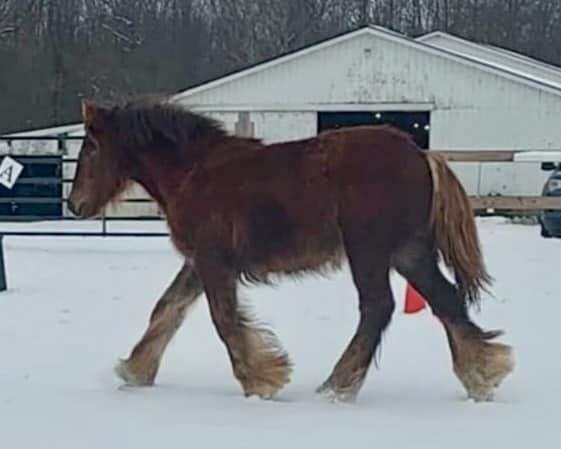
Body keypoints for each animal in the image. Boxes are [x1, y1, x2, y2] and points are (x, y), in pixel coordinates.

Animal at [69, 96, 512, 400]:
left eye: (91, 147)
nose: (75, 205)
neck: (193, 171)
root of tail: (423, 155)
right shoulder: (200, 261)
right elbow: (168, 308)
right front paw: (135, 370)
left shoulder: (214, 260)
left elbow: (223, 320)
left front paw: (262, 379)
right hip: (408, 252)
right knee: (445, 300)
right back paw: (481, 376)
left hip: (368, 249)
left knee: (378, 307)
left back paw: (337, 387)